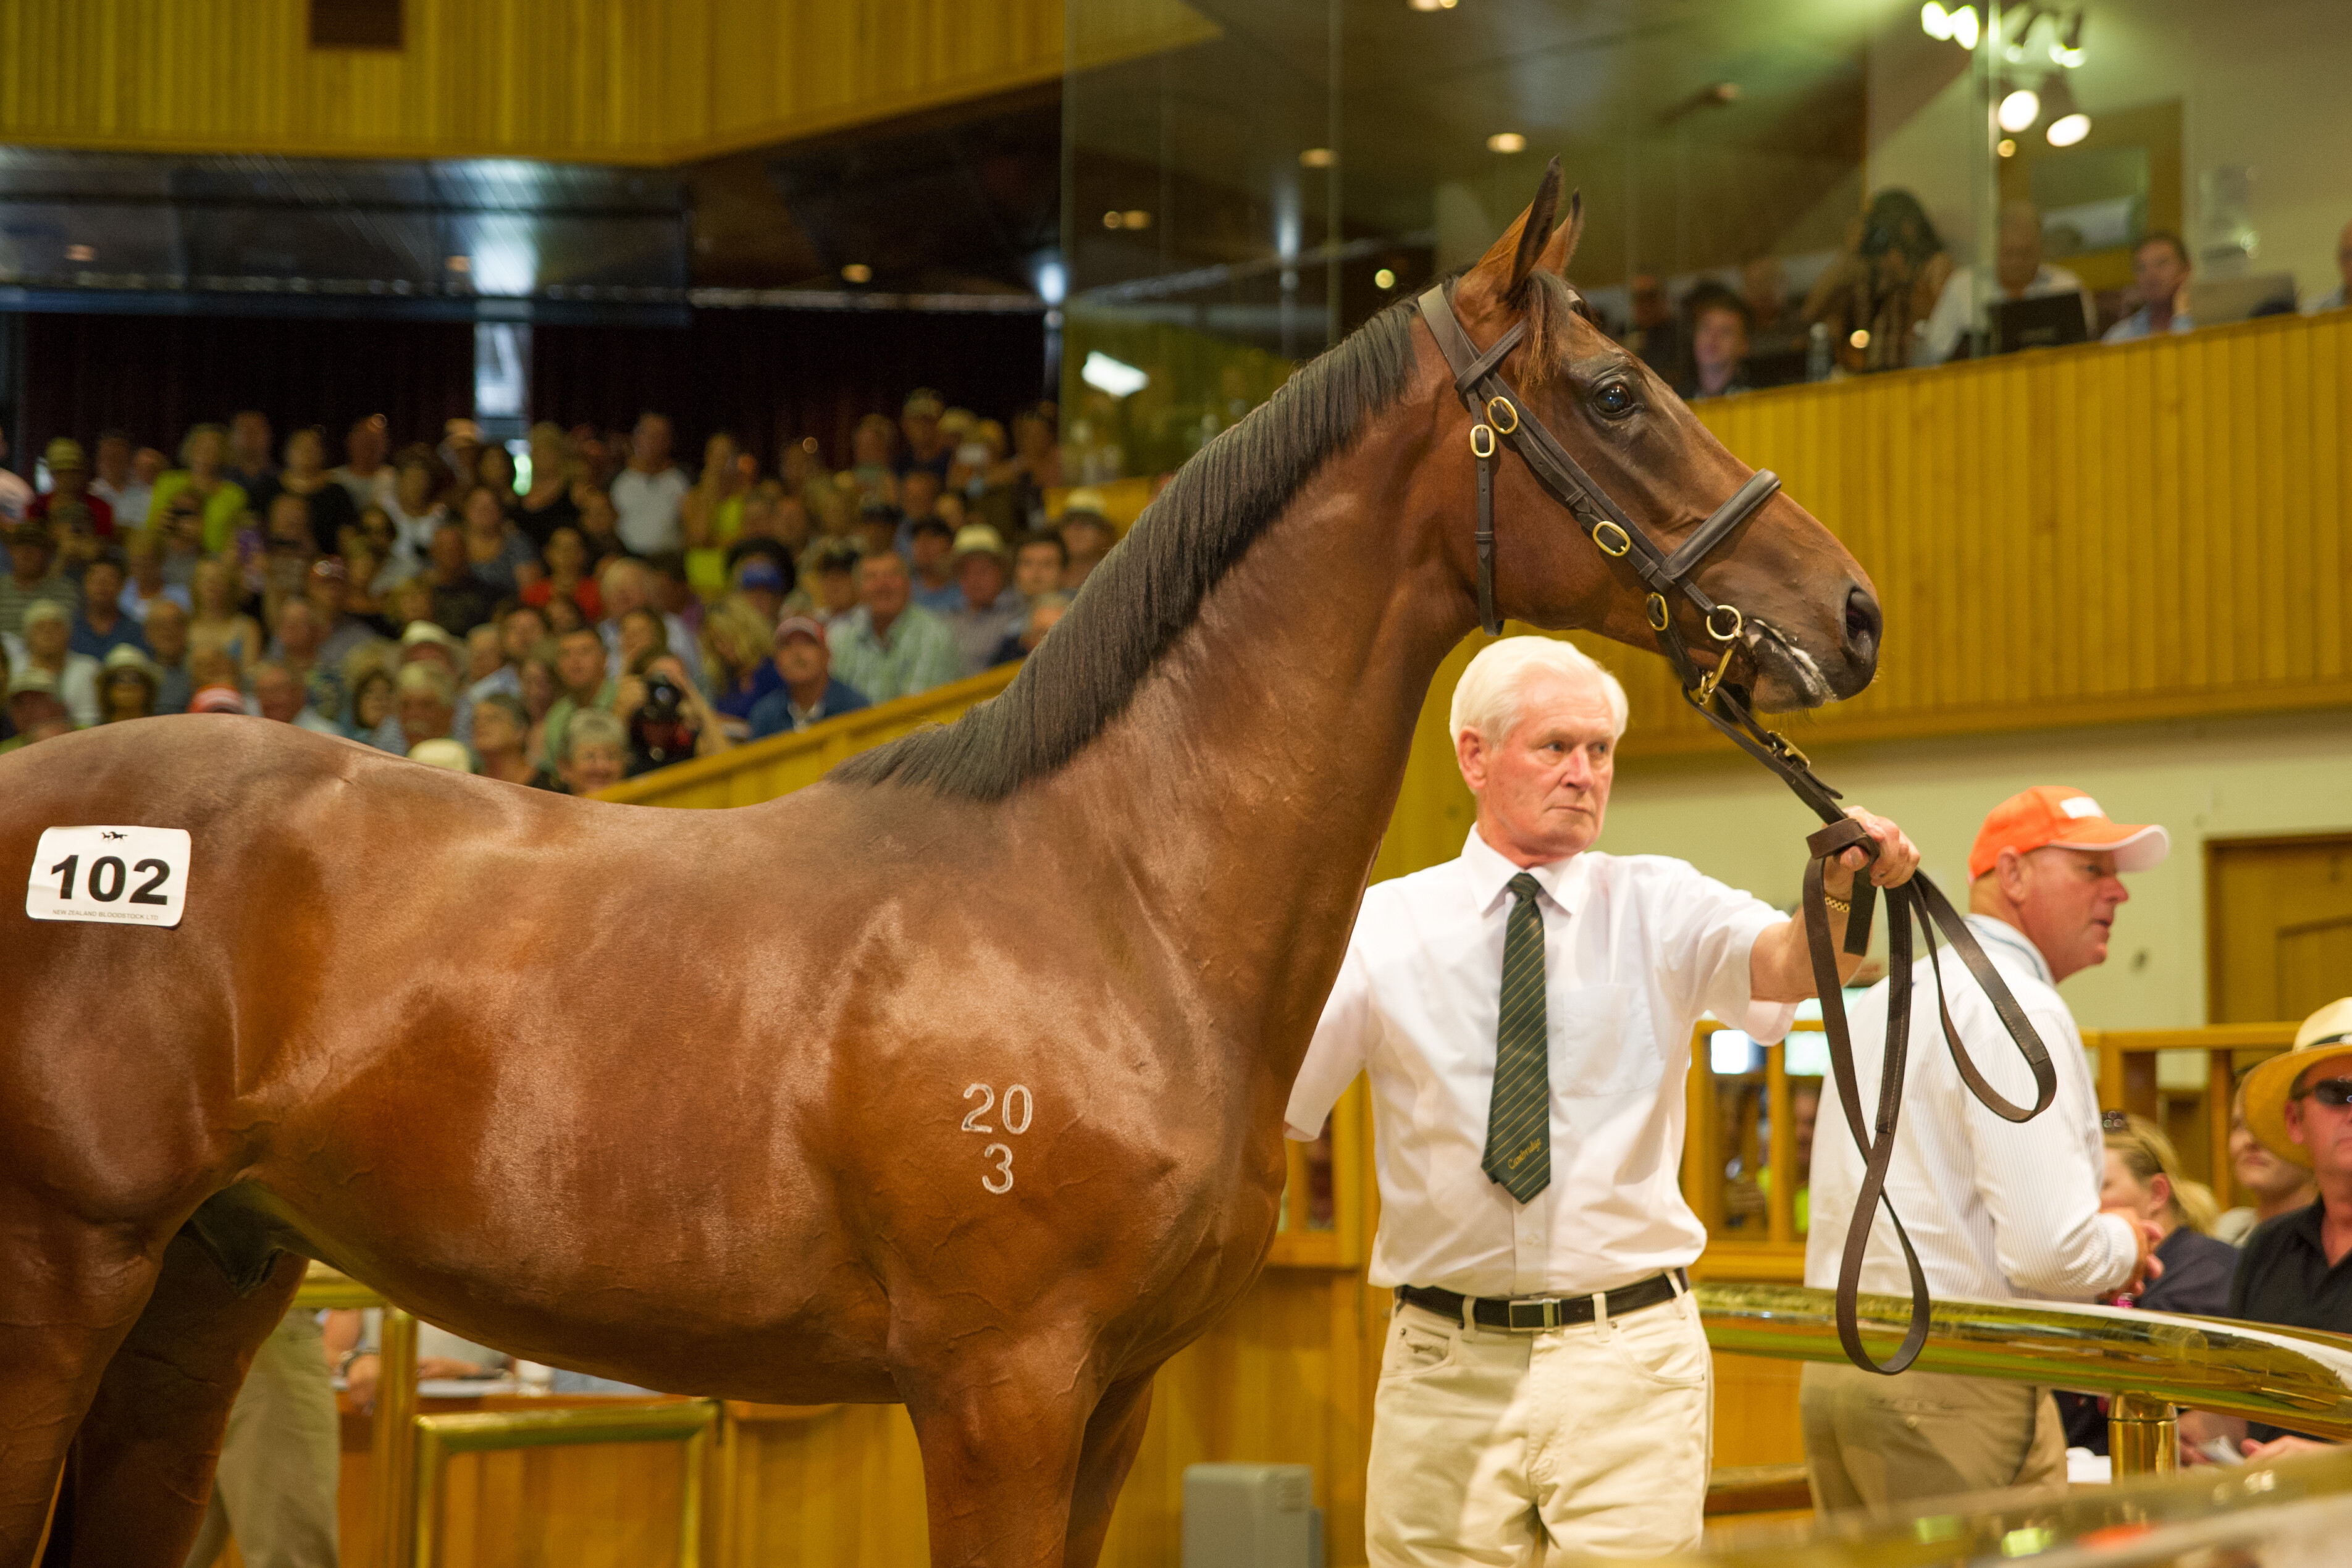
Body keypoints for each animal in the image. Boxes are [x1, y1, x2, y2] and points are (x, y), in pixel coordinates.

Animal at [0, 166, 1872, 1561]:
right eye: (1619, 393)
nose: (1848, 610)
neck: (1112, 893)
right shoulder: (1001, 1392)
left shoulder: (1110, 1403)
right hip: (66, 1277)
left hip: (206, 1287)